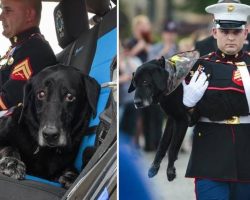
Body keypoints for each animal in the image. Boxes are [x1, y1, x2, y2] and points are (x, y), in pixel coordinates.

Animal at [129, 52, 199, 181]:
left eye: (145, 82)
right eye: (135, 84)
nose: (136, 103)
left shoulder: (181, 120)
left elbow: (172, 148)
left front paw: (170, 171)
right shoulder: (172, 119)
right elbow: (163, 144)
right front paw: (154, 167)